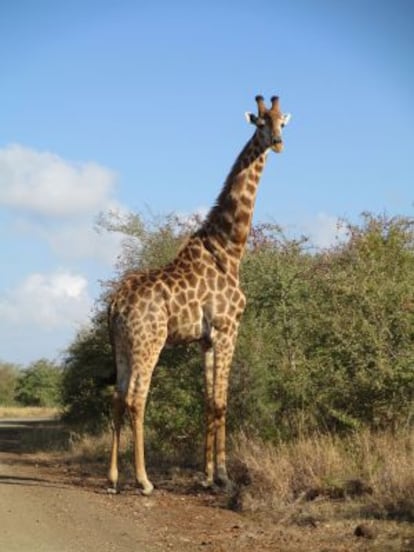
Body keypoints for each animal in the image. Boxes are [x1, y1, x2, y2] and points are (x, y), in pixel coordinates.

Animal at [106, 95, 292, 496]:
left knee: (117, 397)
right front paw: (223, 477)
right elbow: (222, 403)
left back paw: (112, 478)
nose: (278, 142)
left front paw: (207, 476)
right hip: (149, 342)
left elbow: (208, 402)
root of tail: (114, 305)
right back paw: (143, 480)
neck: (229, 249)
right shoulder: (227, 329)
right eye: (260, 124)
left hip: (123, 346)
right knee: (137, 399)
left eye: (282, 122)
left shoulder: (205, 340)